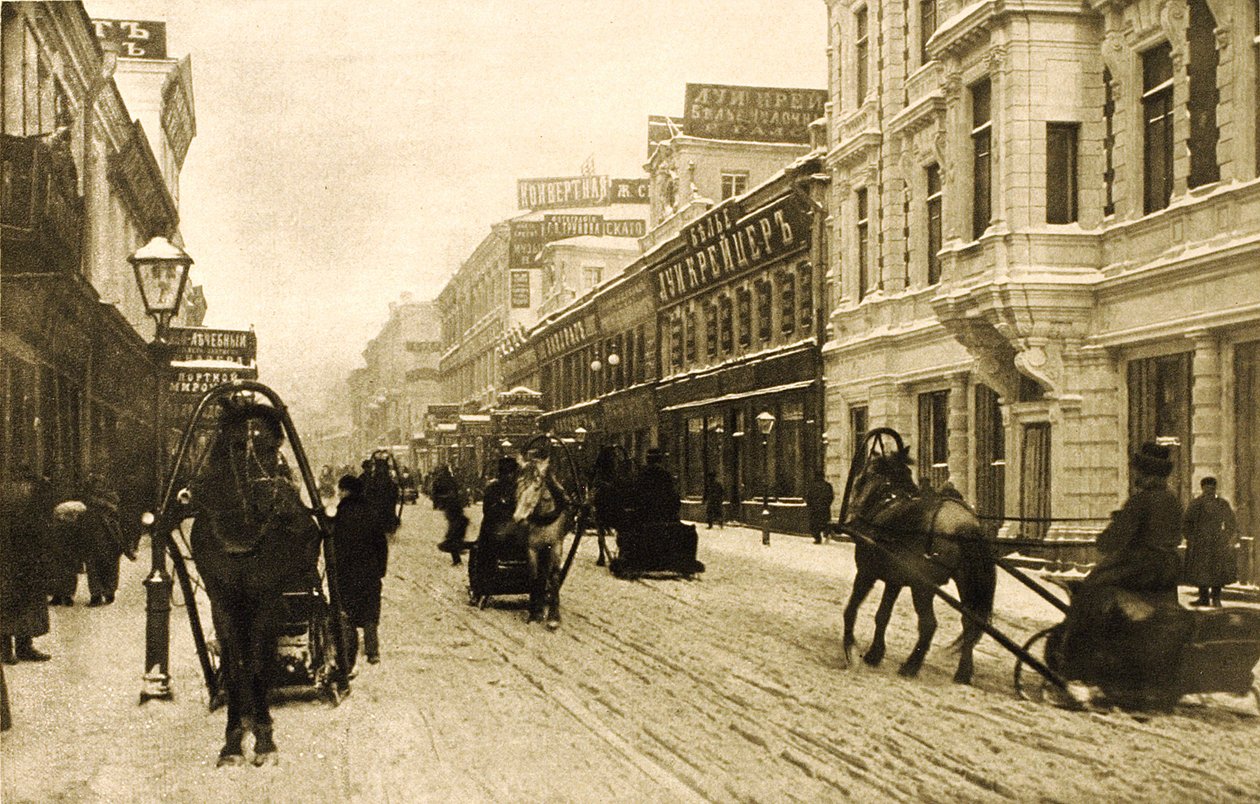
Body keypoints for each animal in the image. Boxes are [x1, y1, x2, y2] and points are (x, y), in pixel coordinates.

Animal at [190, 400, 322, 766]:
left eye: (275, 447)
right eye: (237, 445)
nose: (275, 503)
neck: (241, 534)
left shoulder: (266, 597)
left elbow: (260, 662)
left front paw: (263, 738)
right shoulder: (222, 600)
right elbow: (236, 662)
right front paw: (233, 738)